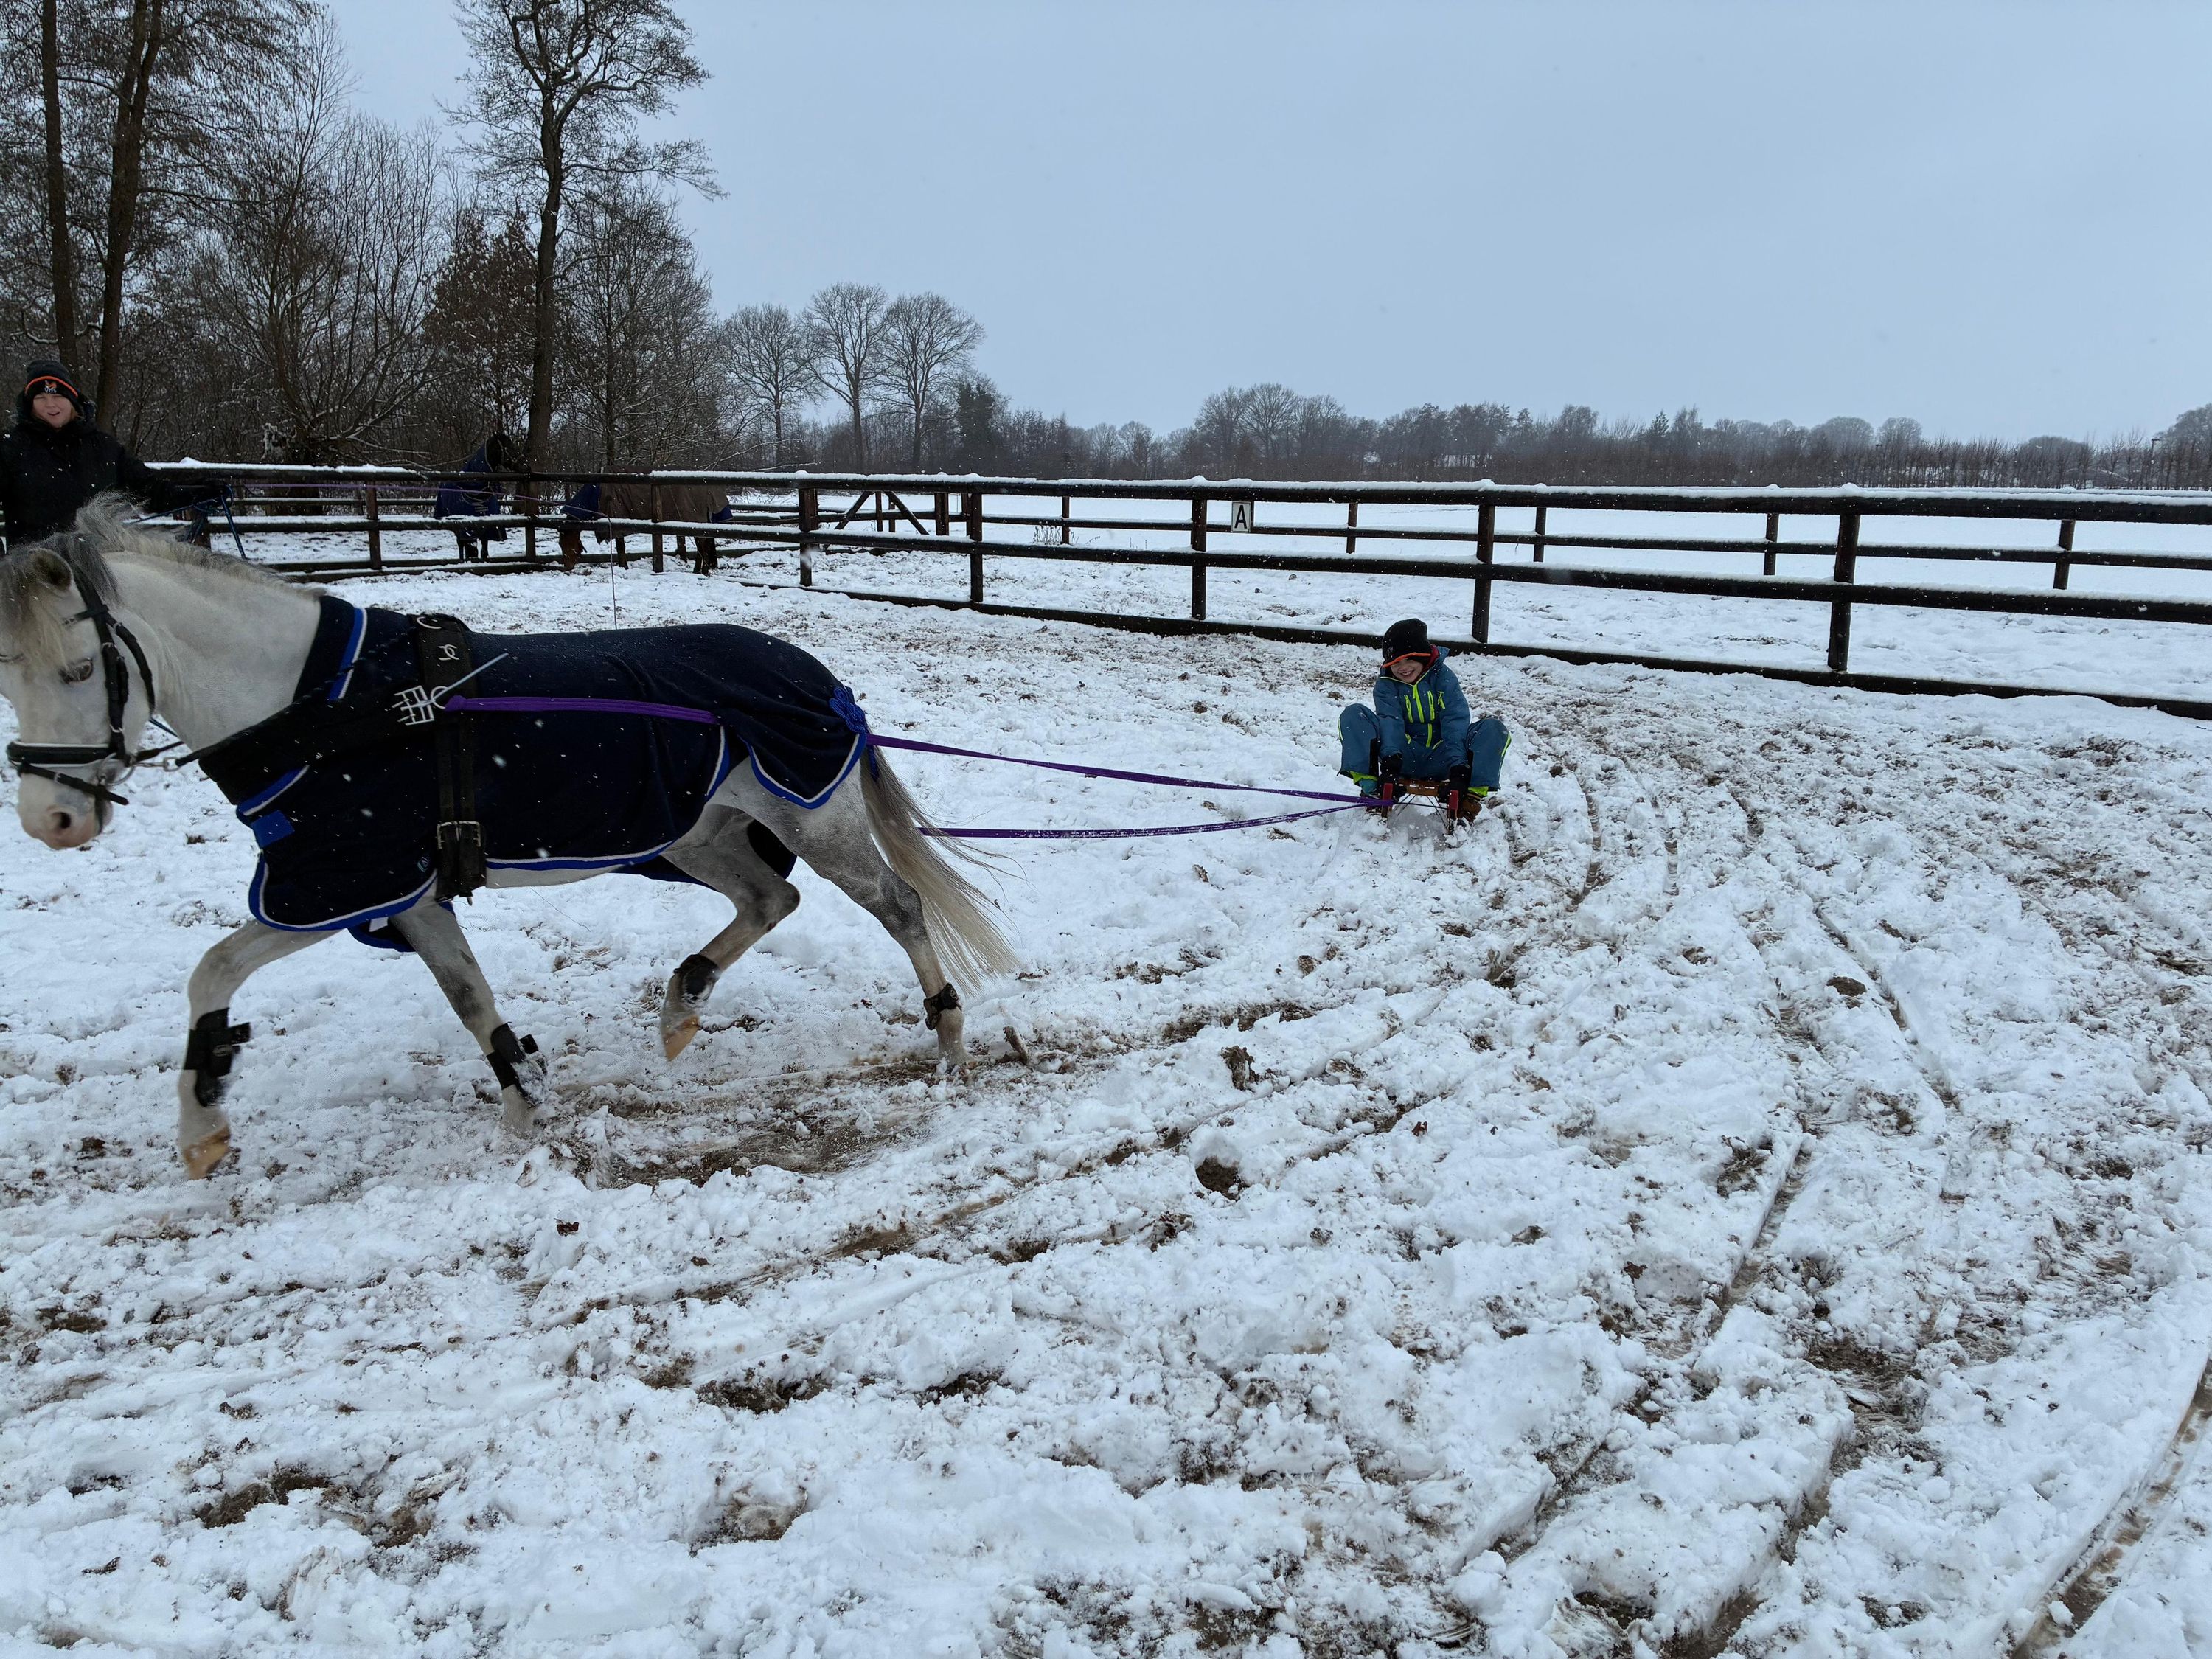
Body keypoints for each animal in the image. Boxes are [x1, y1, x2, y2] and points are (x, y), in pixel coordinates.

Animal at [1, 499, 1017, 1179]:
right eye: (9, 674)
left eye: (82, 668)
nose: (52, 821)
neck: (327, 711)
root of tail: (820, 678)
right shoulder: (407, 892)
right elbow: (470, 996)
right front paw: (524, 1099)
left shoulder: (335, 883)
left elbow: (211, 972)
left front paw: (202, 1128)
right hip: (700, 834)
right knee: (772, 896)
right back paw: (682, 1006)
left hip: (814, 817)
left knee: (897, 905)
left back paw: (948, 1035)